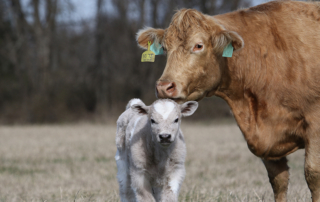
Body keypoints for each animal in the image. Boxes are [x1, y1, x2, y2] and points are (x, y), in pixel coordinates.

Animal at [136, 0, 320, 202]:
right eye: (165, 48)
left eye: (198, 46)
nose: (164, 86)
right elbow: (278, 181)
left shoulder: (315, 125)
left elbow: (313, 175)